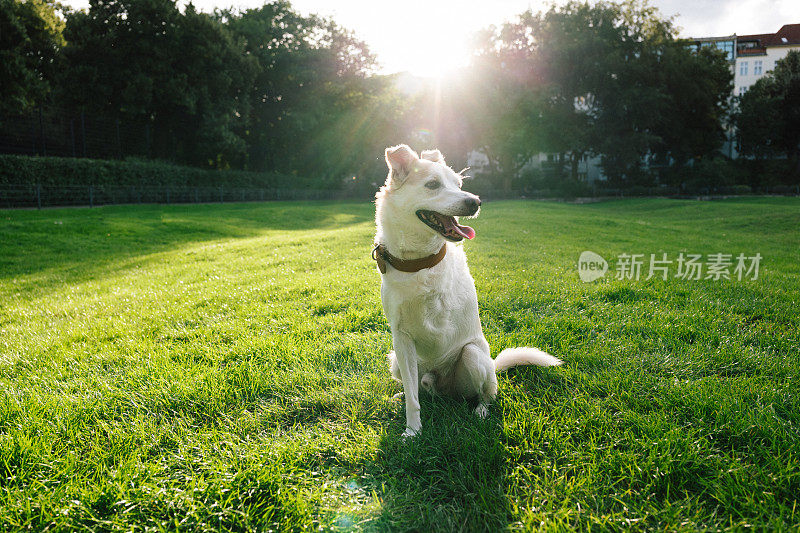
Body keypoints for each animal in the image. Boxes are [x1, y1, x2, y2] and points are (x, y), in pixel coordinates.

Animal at [376, 145, 564, 436]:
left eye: (459, 185)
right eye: (432, 185)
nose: (475, 202)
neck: (417, 262)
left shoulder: (441, 312)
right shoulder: (401, 339)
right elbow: (412, 398)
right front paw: (413, 431)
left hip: (475, 357)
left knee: (485, 394)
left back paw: (480, 411)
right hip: (396, 359)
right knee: (419, 389)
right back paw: (406, 394)